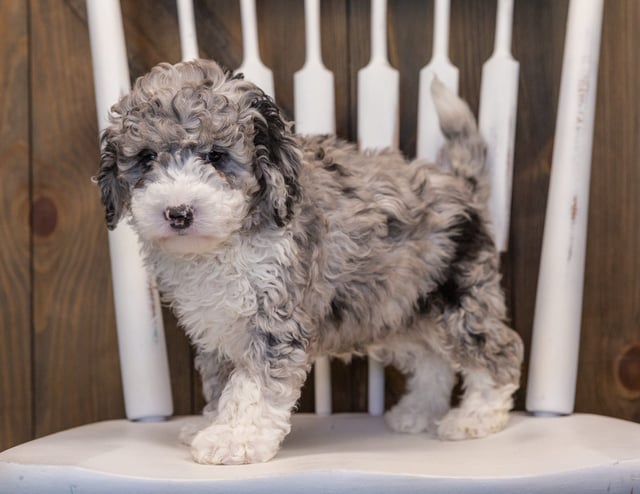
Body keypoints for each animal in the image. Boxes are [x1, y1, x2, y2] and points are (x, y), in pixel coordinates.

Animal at [96, 59, 524, 466]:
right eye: (146, 158)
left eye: (217, 157)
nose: (178, 213)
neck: (224, 244)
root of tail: (460, 185)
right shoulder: (216, 327)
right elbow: (221, 382)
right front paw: (213, 423)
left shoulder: (275, 316)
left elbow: (252, 385)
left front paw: (233, 439)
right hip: (399, 307)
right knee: (433, 359)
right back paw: (419, 412)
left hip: (461, 298)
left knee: (498, 350)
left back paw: (476, 416)